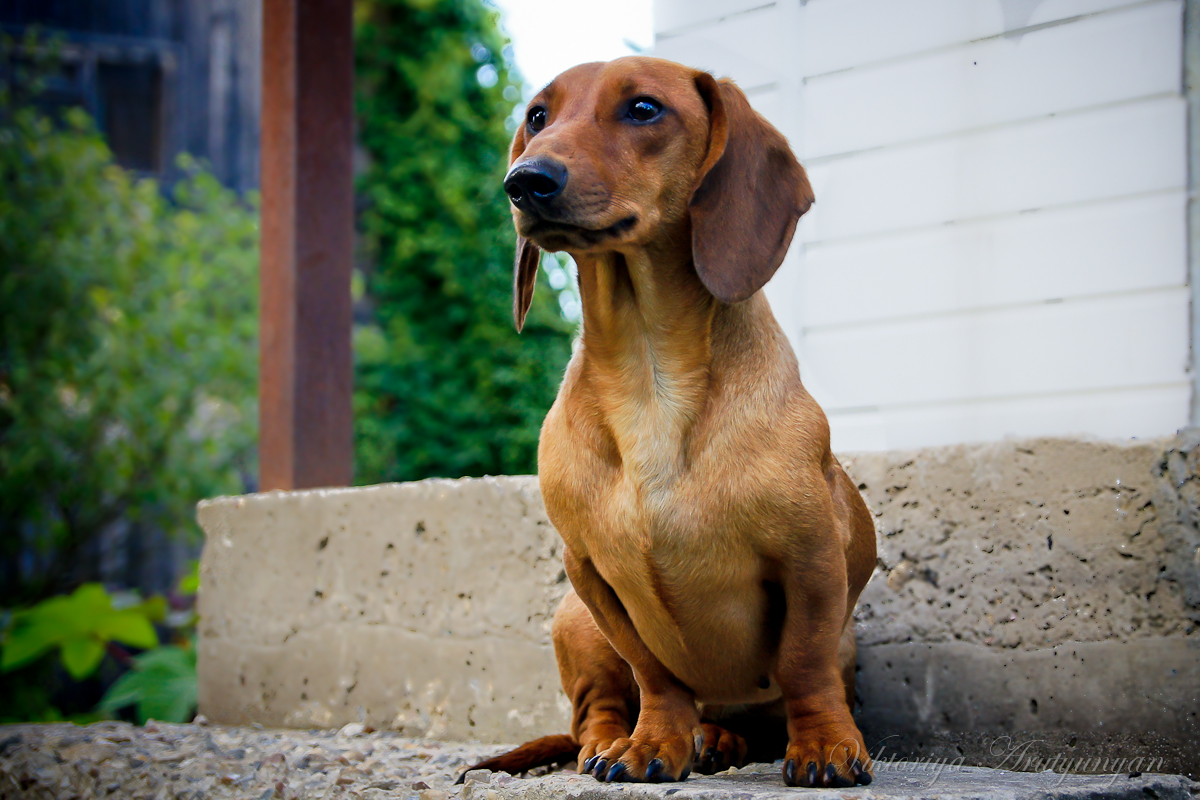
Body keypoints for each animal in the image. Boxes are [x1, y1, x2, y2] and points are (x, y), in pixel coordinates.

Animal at [465, 54, 873, 786]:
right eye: (537, 115)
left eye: (644, 109)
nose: (524, 182)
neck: (649, 376)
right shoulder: (591, 576)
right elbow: (654, 672)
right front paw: (654, 742)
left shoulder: (812, 561)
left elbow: (803, 663)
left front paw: (826, 744)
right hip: (573, 621)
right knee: (593, 714)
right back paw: (622, 743)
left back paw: (721, 737)